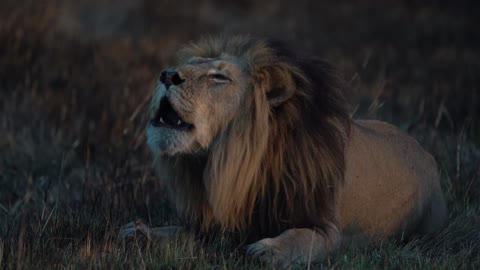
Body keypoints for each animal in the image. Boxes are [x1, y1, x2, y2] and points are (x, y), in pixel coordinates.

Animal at [119, 34, 446, 266]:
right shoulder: (215, 224)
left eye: (218, 77)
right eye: (193, 62)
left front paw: (268, 249)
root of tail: (425, 152)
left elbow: (301, 238)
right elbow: (177, 231)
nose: (166, 75)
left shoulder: (328, 228)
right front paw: (141, 233)